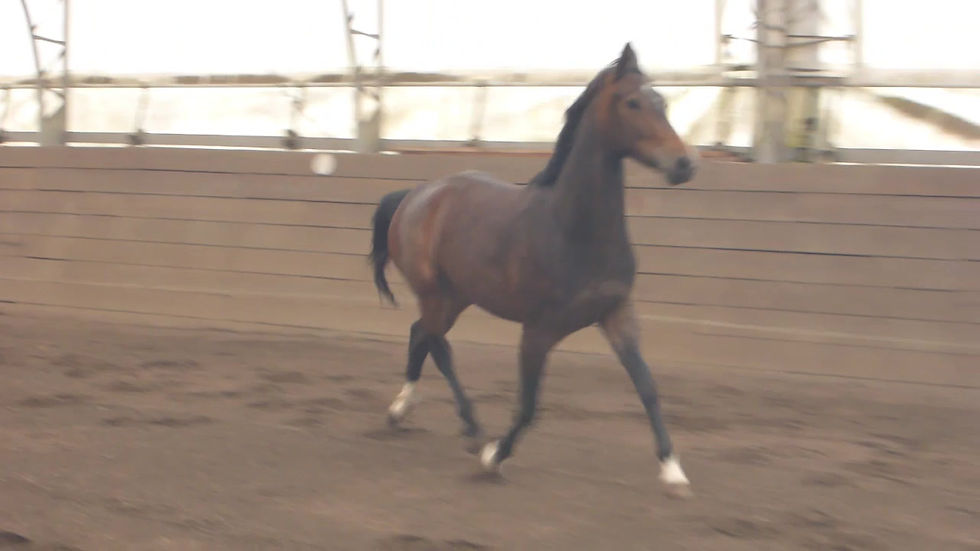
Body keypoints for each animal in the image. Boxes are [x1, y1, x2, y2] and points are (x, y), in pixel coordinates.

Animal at [368, 43, 695, 494]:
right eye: (633, 102)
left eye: (661, 101)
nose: (683, 165)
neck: (572, 231)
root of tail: (415, 195)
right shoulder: (538, 331)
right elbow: (527, 405)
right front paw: (494, 457)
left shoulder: (616, 313)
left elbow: (647, 386)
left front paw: (672, 469)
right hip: (434, 293)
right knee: (437, 345)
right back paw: (472, 431)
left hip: (456, 296)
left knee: (421, 335)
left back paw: (401, 411)